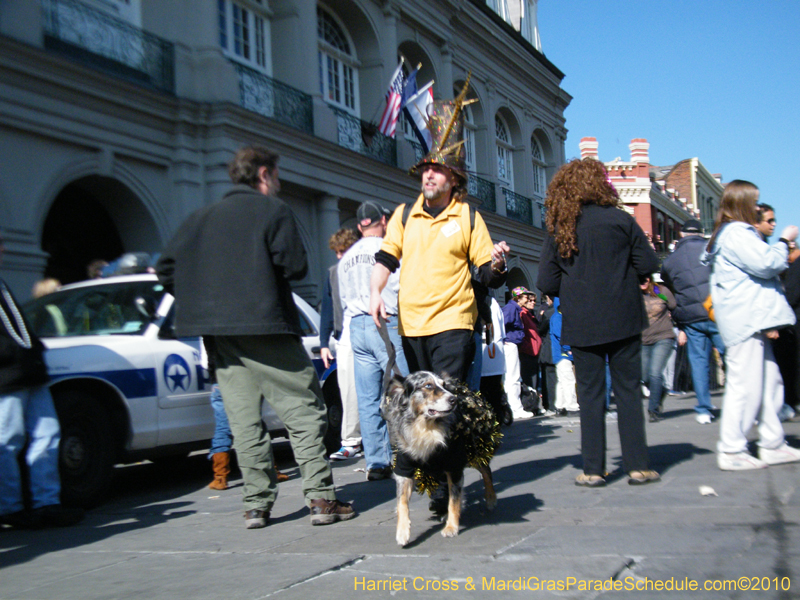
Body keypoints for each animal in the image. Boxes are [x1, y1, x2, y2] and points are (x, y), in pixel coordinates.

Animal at [382, 370, 500, 544]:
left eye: (443, 385)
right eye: (428, 386)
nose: (454, 399)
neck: (425, 428)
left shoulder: (454, 464)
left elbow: (454, 500)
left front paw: (451, 528)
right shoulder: (404, 468)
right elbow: (401, 501)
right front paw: (402, 532)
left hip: (475, 448)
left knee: (486, 470)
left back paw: (491, 499)